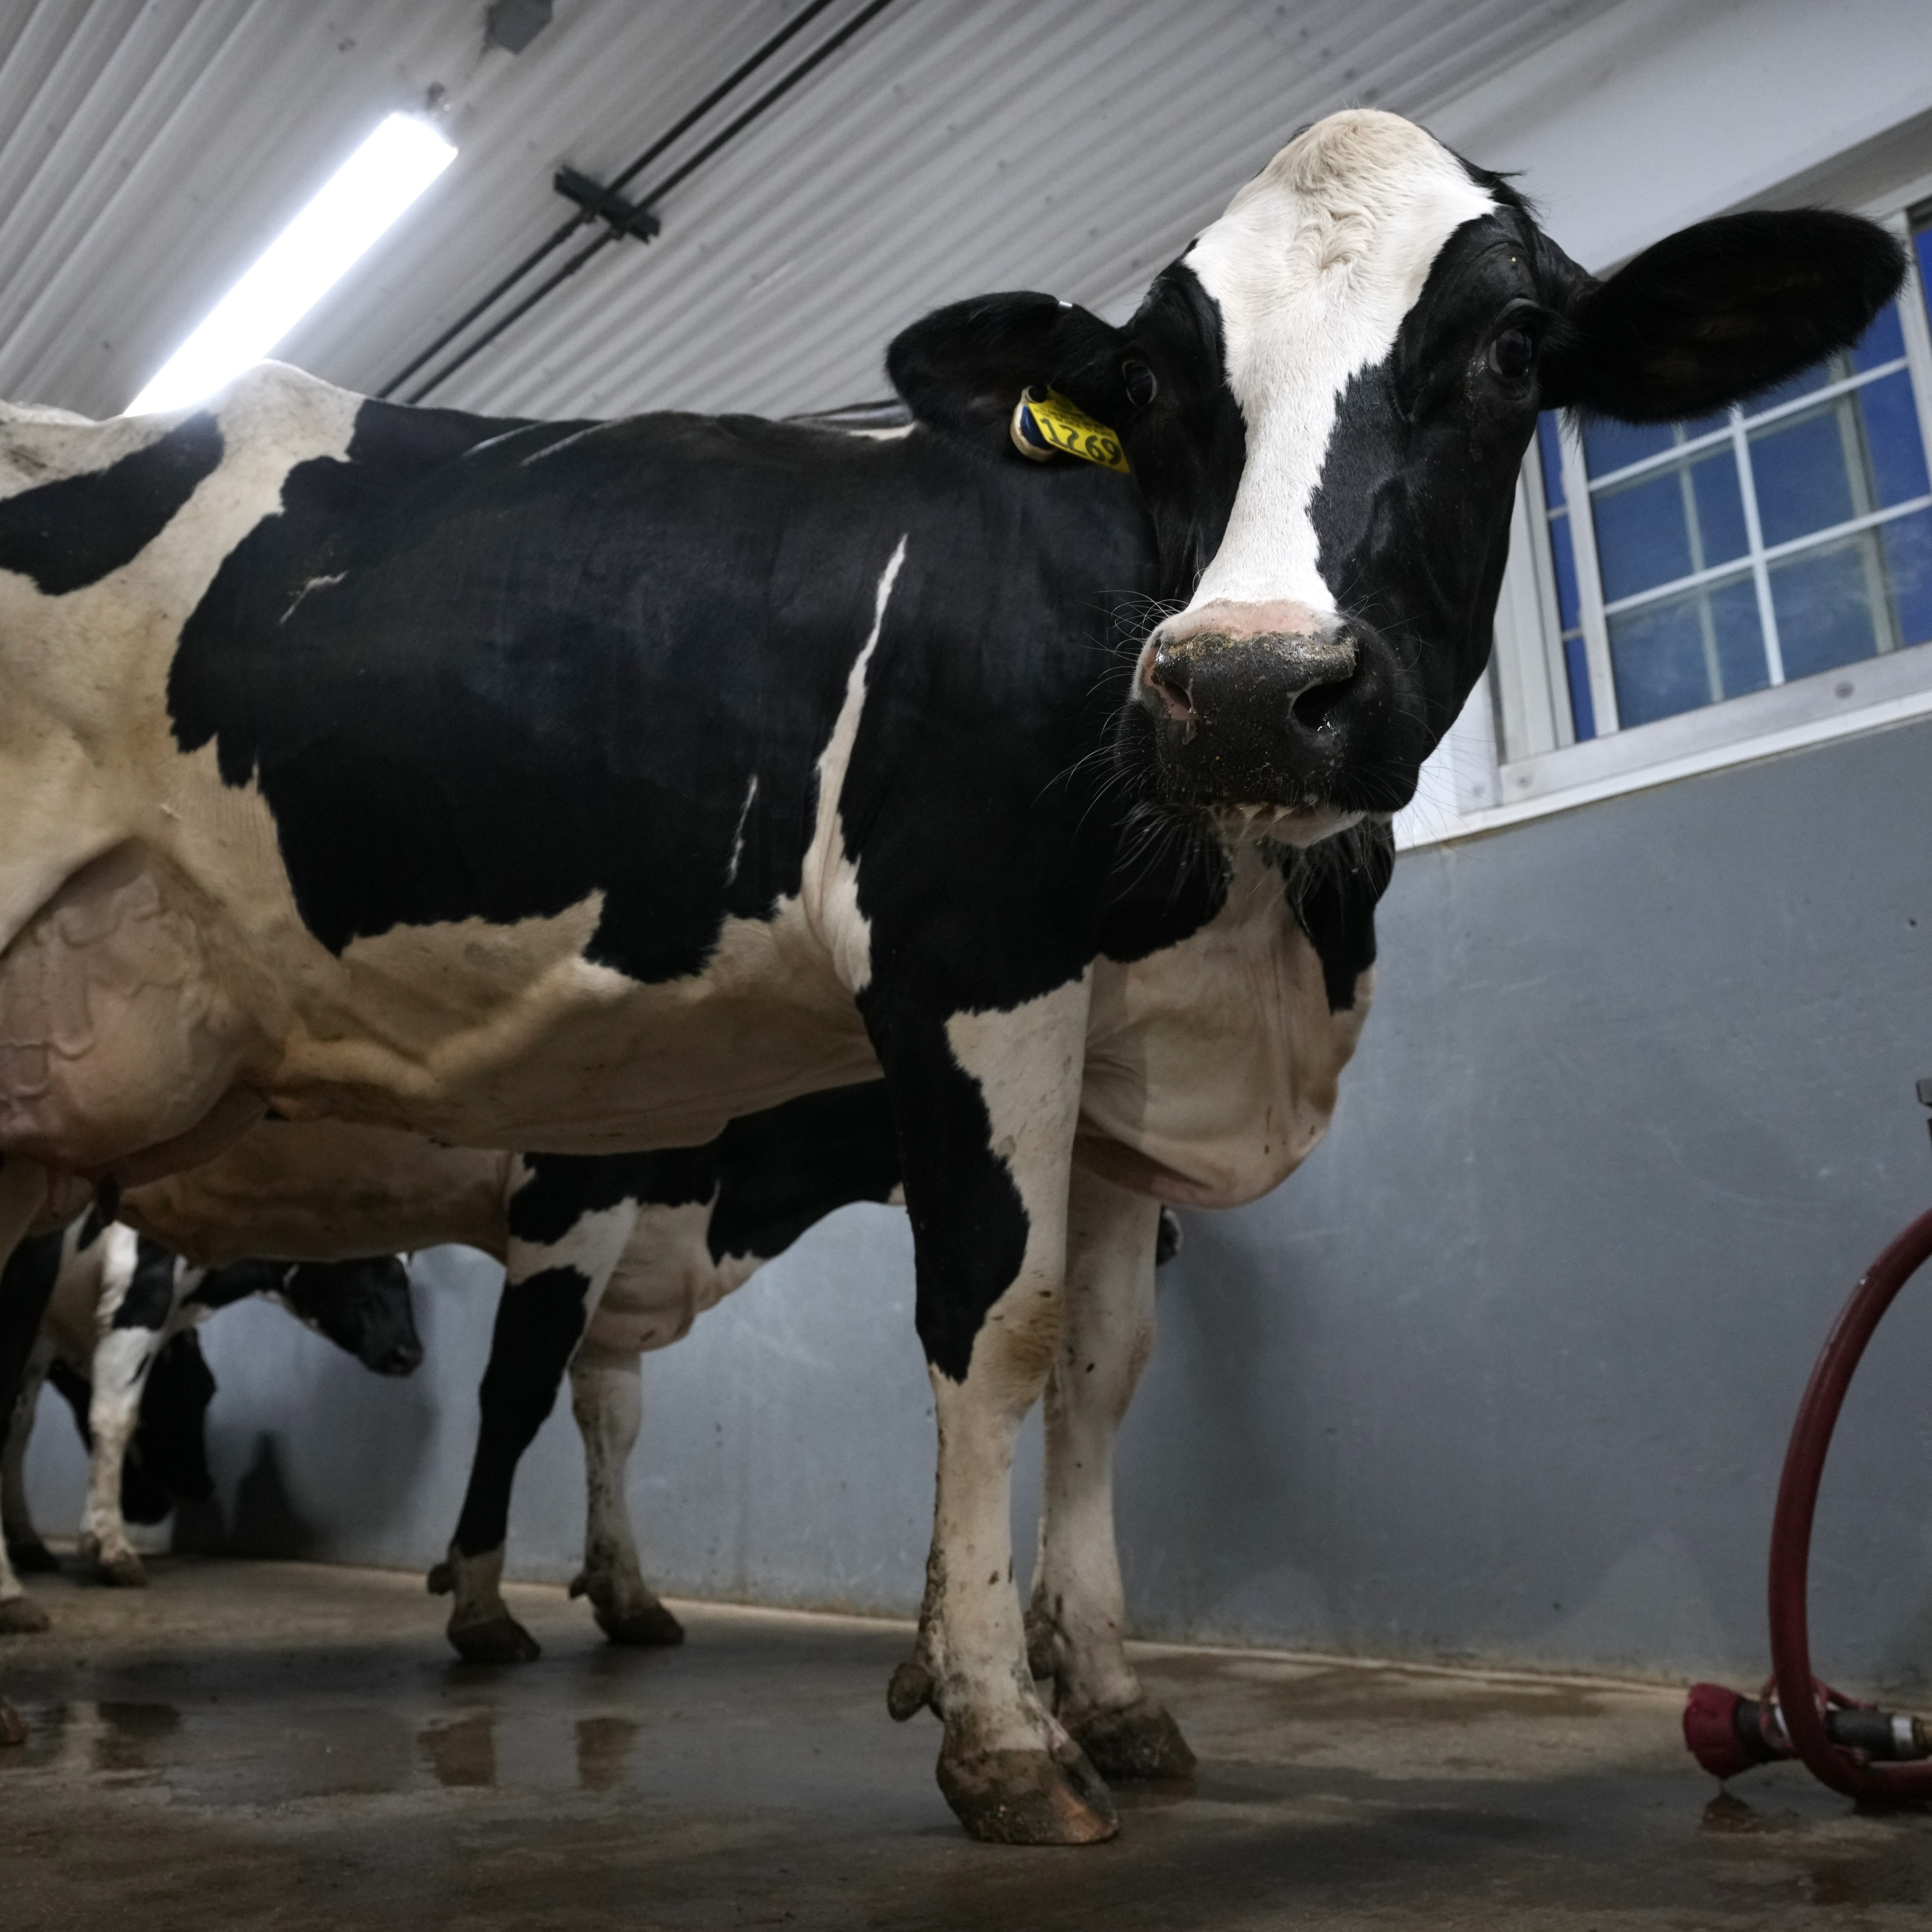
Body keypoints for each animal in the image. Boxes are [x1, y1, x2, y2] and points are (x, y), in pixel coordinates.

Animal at [0, 1214, 417, 1606]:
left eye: (208, 1388)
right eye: (371, 1255)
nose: (411, 1353)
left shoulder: (42, 1335)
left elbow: (19, 1427)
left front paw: (29, 1544)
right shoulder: (141, 1291)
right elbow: (113, 1417)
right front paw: (111, 1548)